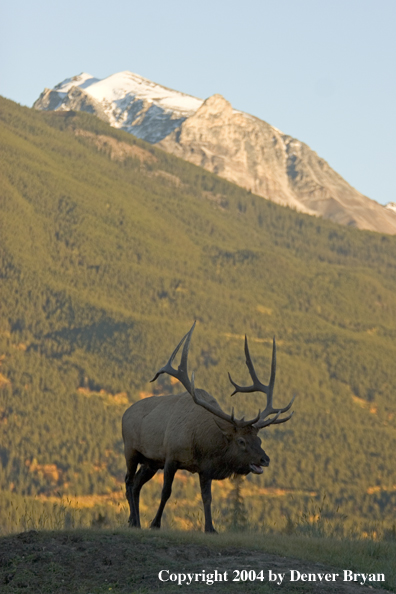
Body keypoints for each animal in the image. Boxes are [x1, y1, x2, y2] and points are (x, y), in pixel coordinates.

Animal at [122, 322, 296, 528]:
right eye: (241, 441)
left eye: (259, 440)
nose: (265, 459)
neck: (202, 443)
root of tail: (124, 414)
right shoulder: (171, 456)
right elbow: (166, 492)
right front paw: (155, 523)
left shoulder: (205, 468)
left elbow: (207, 498)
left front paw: (210, 528)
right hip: (131, 450)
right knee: (129, 481)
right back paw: (134, 520)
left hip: (151, 462)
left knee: (136, 485)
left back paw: (136, 521)